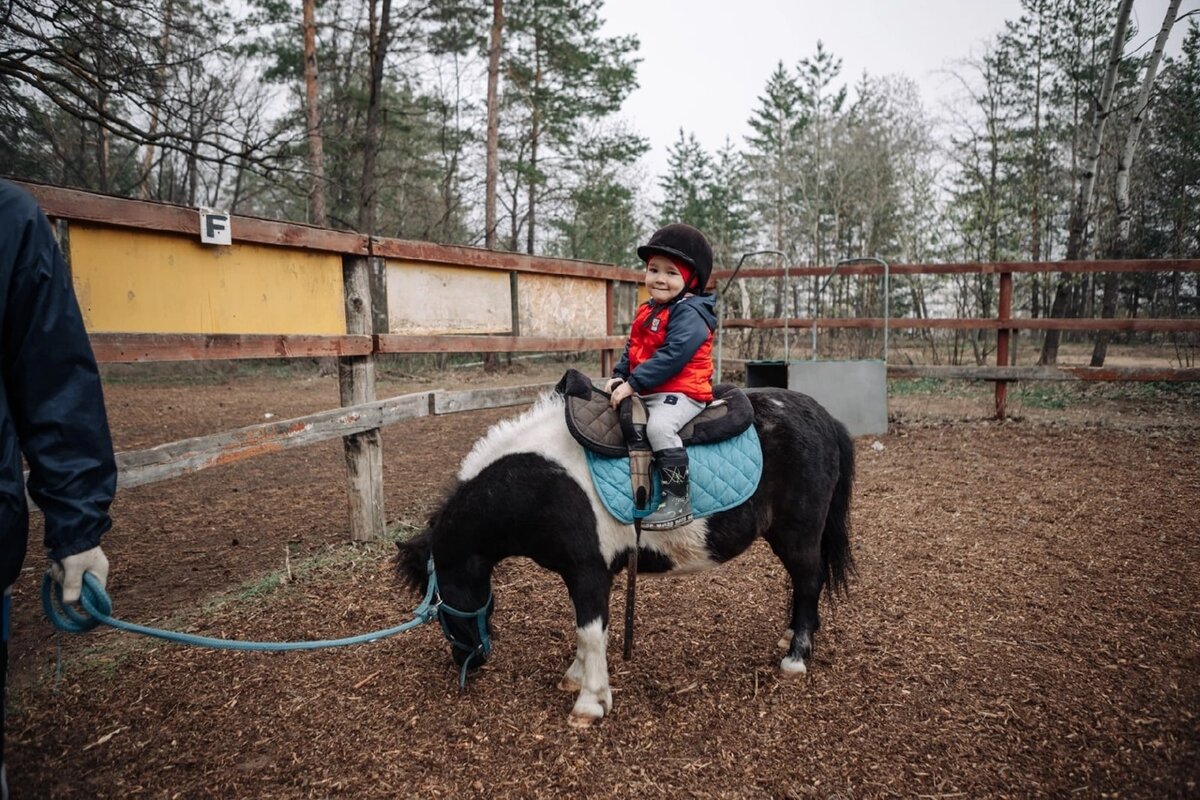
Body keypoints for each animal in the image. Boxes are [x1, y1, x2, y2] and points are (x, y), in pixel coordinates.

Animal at [398, 383, 859, 729]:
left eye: (438, 602)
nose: (468, 659)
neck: (547, 483)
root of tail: (825, 418)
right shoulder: (587, 574)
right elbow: (590, 630)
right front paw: (577, 678)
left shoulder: (588, 572)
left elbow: (589, 631)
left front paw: (589, 703)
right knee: (803, 584)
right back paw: (791, 637)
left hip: (798, 533)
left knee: (809, 581)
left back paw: (795, 658)